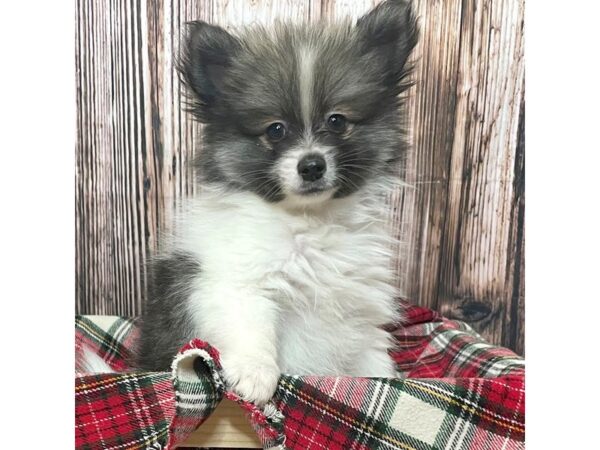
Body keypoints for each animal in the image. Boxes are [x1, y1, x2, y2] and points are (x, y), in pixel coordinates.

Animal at [135, 0, 418, 406]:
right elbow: (251, 330)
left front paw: (387, 380)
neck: (308, 222)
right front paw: (255, 378)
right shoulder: (237, 284)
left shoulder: (359, 310)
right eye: (276, 129)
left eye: (337, 121)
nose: (312, 165)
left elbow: (372, 358)